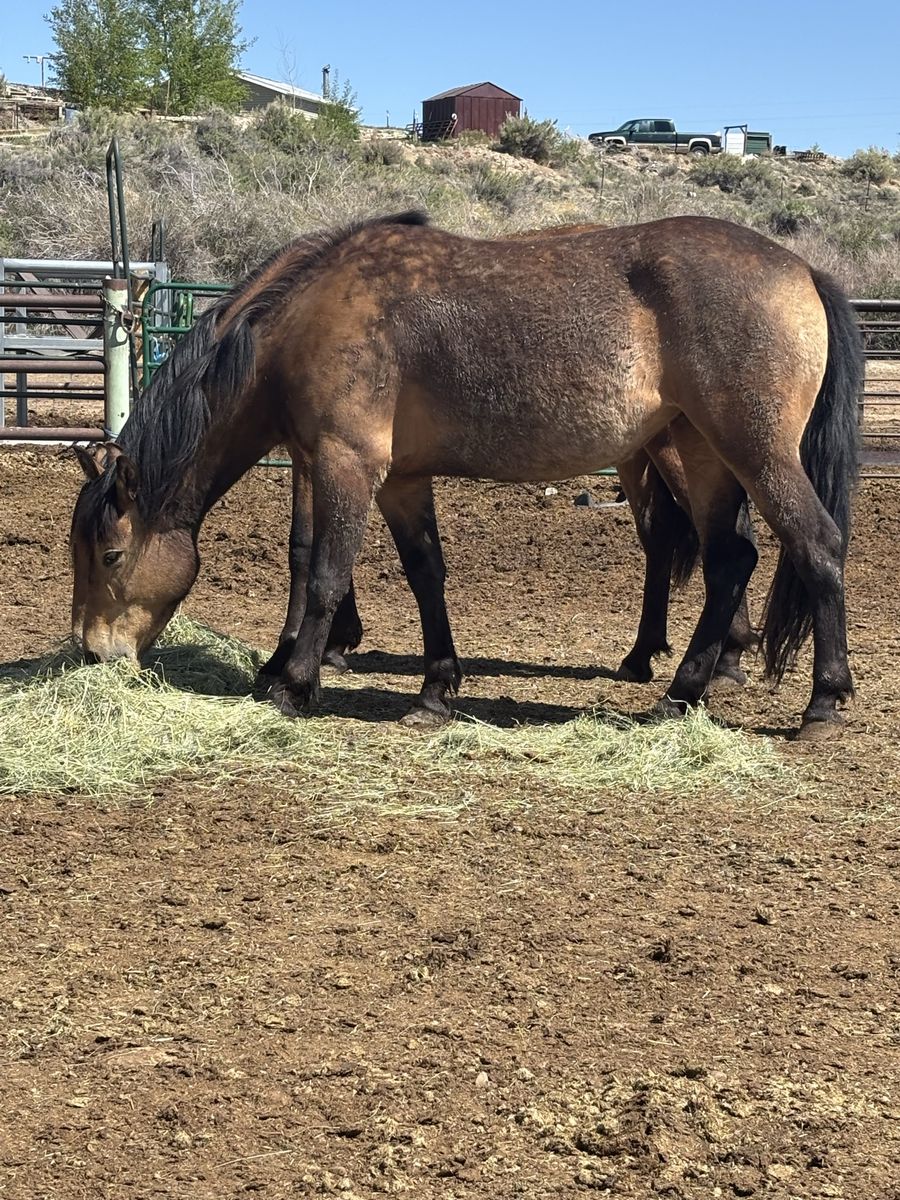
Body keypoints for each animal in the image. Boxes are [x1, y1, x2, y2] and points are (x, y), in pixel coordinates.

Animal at [70, 212, 862, 740]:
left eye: (111, 555)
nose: (92, 653)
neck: (302, 318)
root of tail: (803, 270)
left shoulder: (344, 463)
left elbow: (323, 572)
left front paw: (294, 681)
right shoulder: (397, 480)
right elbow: (427, 574)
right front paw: (435, 688)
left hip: (750, 452)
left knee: (815, 545)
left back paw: (821, 701)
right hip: (701, 452)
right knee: (730, 559)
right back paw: (682, 690)